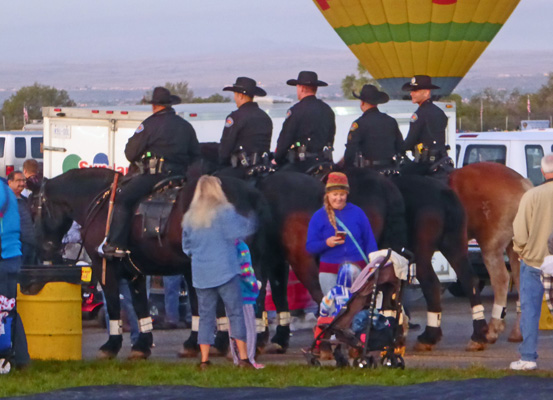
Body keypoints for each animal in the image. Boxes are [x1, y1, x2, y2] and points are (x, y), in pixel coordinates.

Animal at [34, 167, 276, 360]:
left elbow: (113, 305)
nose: (45, 249)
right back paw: (253, 340)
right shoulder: (137, 272)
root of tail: (252, 193)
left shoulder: (106, 269)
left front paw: (111, 346)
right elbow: (143, 306)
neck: (101, 206)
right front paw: (143, 345)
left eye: (35, 208)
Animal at [448, 161, 536, 342]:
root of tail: (522, 182)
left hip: (491, 245)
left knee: (501, 278)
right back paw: (517, 331)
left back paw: (493, 328)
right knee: (519, 278)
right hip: (513, 246)